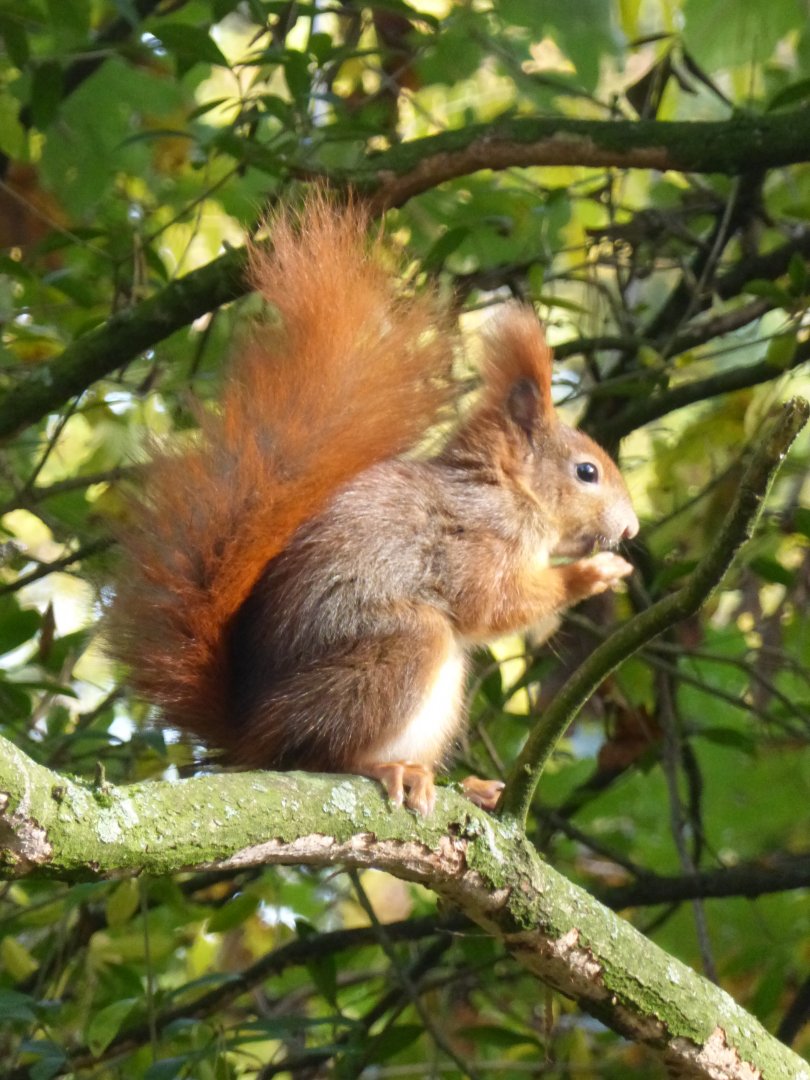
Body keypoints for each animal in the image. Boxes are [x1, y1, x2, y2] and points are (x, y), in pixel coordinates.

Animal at [107, 194, 639, 816]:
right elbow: (492, 605)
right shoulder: (473, 538)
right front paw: (591, 573)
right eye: (586, 472)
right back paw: (382, 767)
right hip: (399, 651)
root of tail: (253, 734)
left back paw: (467, 786)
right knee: (320, 754)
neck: (505, 489)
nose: (631, 530)